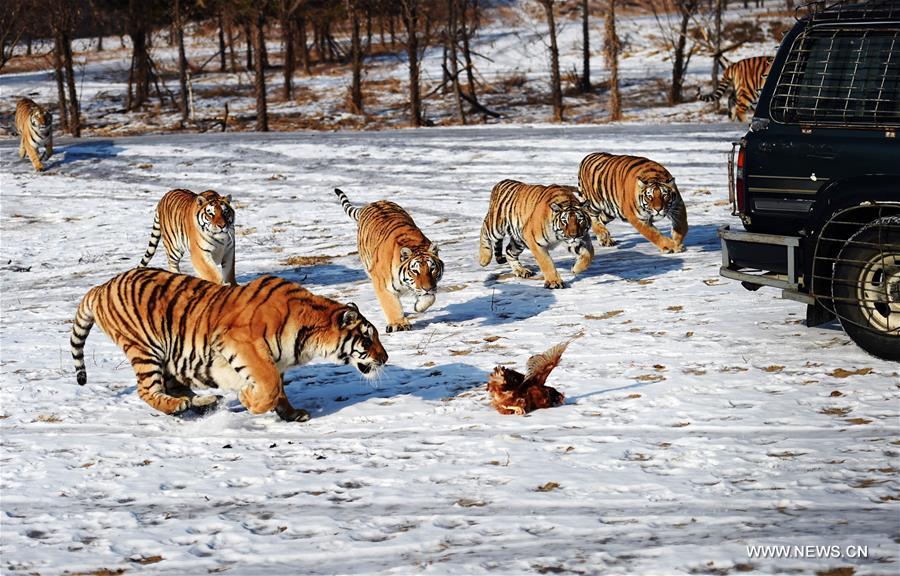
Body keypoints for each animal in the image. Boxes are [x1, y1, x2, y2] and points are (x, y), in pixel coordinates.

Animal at [67, 268, 384, 420]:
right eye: (368, 337)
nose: (385, 358)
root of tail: (101, 286)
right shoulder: (245, 345)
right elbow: (270, 386)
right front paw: (247, 398)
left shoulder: (275, 361)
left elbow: (279, 390)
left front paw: (292, 414)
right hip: (145, 350)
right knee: (147, 390)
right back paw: (178, 407)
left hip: (171, 357)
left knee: (176, 388)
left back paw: (203, 401)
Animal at [332, 189, 444, 332]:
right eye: (415, 271)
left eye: (432, 268)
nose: (428, 288)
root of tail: (373, 203)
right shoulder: (381, 283)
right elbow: (390, 304)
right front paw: (398, 324)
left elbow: (429, 298)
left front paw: (419, 306)